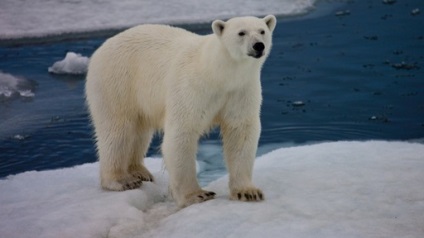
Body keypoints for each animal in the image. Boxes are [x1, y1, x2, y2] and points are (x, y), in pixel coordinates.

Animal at [86, 15, 278, 207]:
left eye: (262, 31)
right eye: (241, 33)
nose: (258, 45)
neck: (218, 73)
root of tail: (102, 48)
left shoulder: (240, 90)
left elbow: (241, 130)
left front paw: (248, 192)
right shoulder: (192, 87)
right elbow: (182, 132)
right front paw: (197, 195)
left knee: (139, 132)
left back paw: (140, 171)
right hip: (117, 82)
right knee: (117, 130)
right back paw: (121, 180)